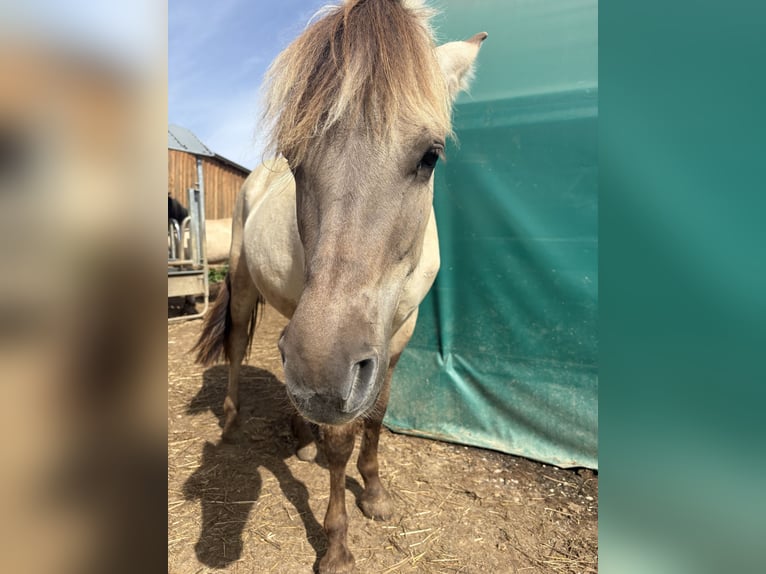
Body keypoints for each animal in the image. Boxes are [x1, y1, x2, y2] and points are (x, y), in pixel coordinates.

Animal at [193, 1, 485, 571]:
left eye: (431, 155)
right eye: (294, 156)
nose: (320, 380)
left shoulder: (395, 334)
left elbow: (377, 415)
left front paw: (374, 493)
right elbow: (341, 439)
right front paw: (337, 544)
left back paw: (300, 435)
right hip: (244, 283)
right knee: (237, 344)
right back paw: (236, 422)